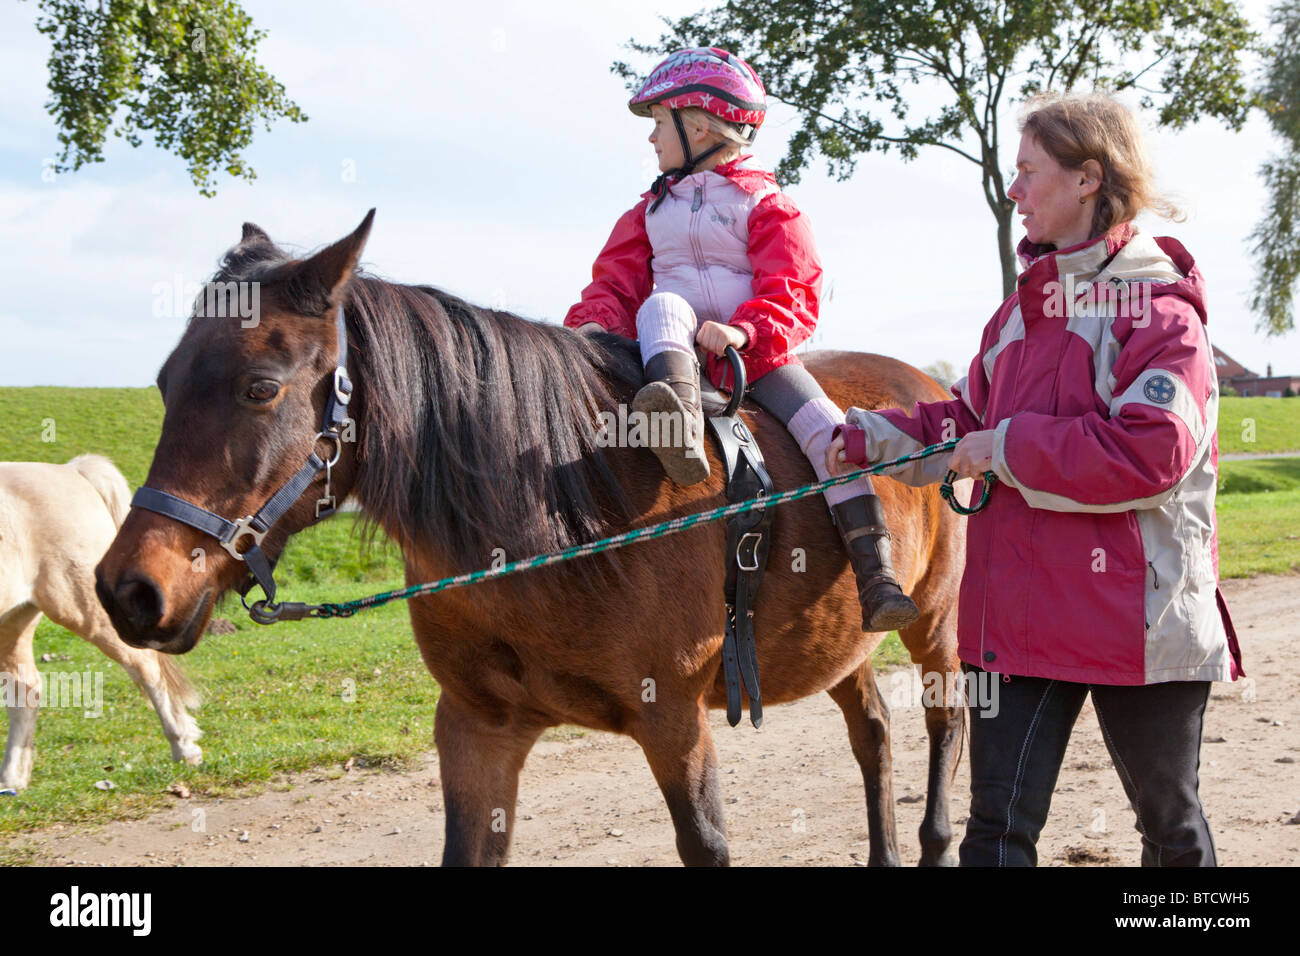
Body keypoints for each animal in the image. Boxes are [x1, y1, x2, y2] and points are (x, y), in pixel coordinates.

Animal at [98, 210, 967, 868]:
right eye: (165, 383)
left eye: (260, 388)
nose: (129, 590)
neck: (567, 510)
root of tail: (933, 386)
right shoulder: (478, 728)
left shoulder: (674, 721)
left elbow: (706, 843)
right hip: (841, 646)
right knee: (873, 733)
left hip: (932, 622)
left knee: (944, 719)